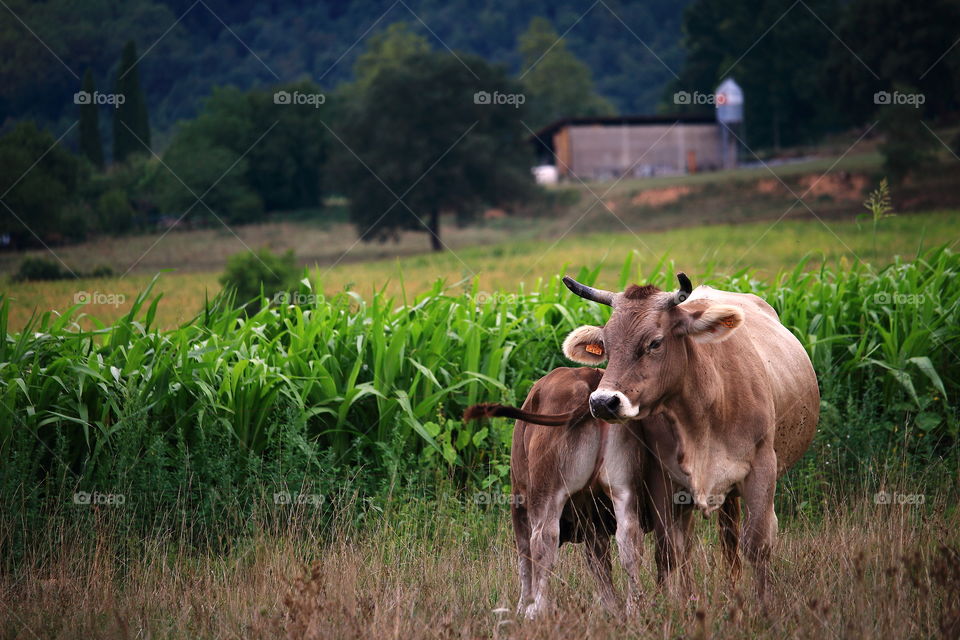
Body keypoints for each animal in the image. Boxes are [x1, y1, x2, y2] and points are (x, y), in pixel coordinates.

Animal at [465, 366, 651, 618]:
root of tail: (590, 377)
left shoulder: (519, 499)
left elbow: (524, 557)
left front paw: (523, 606)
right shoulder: (593, 516)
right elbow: (599, 560)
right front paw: (610, 608)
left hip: (546, 491)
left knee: (543, 540)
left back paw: (537, 610)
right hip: (624, 487)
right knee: (629, 540)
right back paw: (634, 609)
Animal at [559, 272, 819, 597]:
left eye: (655, 342)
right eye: (606, 344)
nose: (603, 402)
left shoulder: (762, 468)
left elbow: (758, 545)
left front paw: (764, 603)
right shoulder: (664, 479)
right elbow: (671, 550)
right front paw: (677, 603)